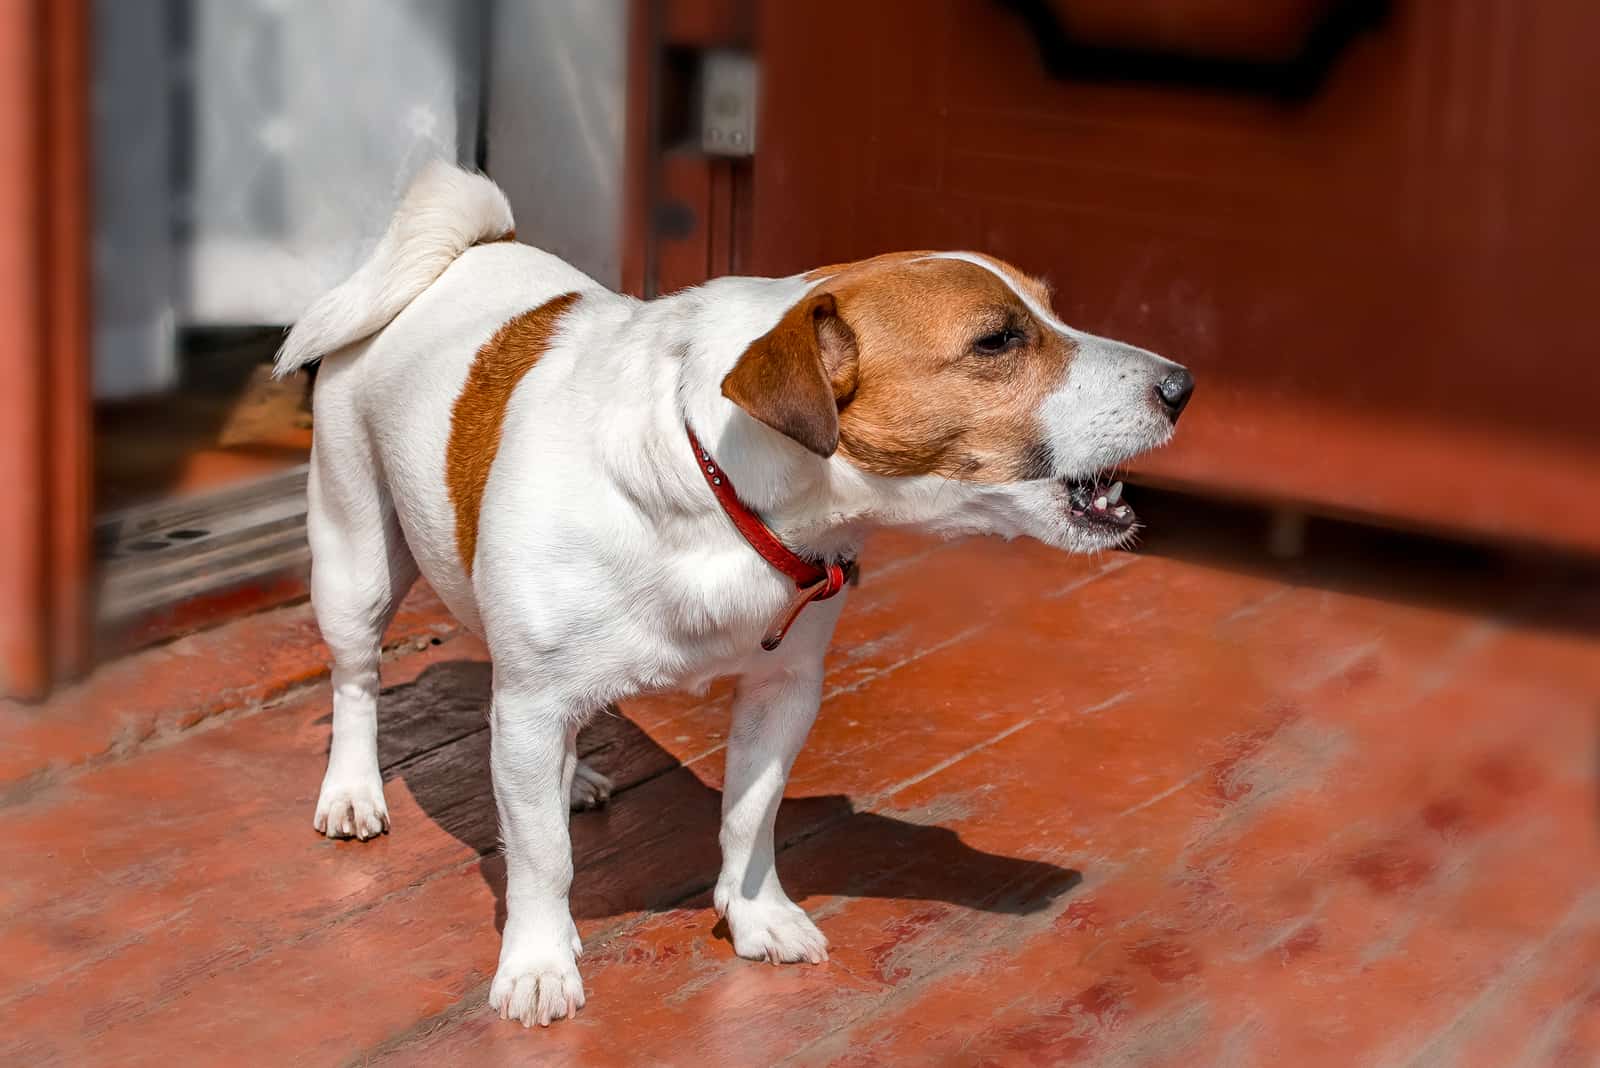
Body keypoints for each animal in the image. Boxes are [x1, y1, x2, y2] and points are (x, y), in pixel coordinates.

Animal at [281, 163, 1196, 1029]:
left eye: (1051, 312)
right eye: (997, 340)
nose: (1183, 385)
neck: (722, 483)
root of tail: (473, 247)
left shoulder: (782, 690)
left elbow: (749, 816)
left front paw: (755, 914)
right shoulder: (533, 701)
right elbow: (542, 858)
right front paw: (538, 963)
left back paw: (573, 777)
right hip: (355, 560)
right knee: (358, 682)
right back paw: (355, 790)